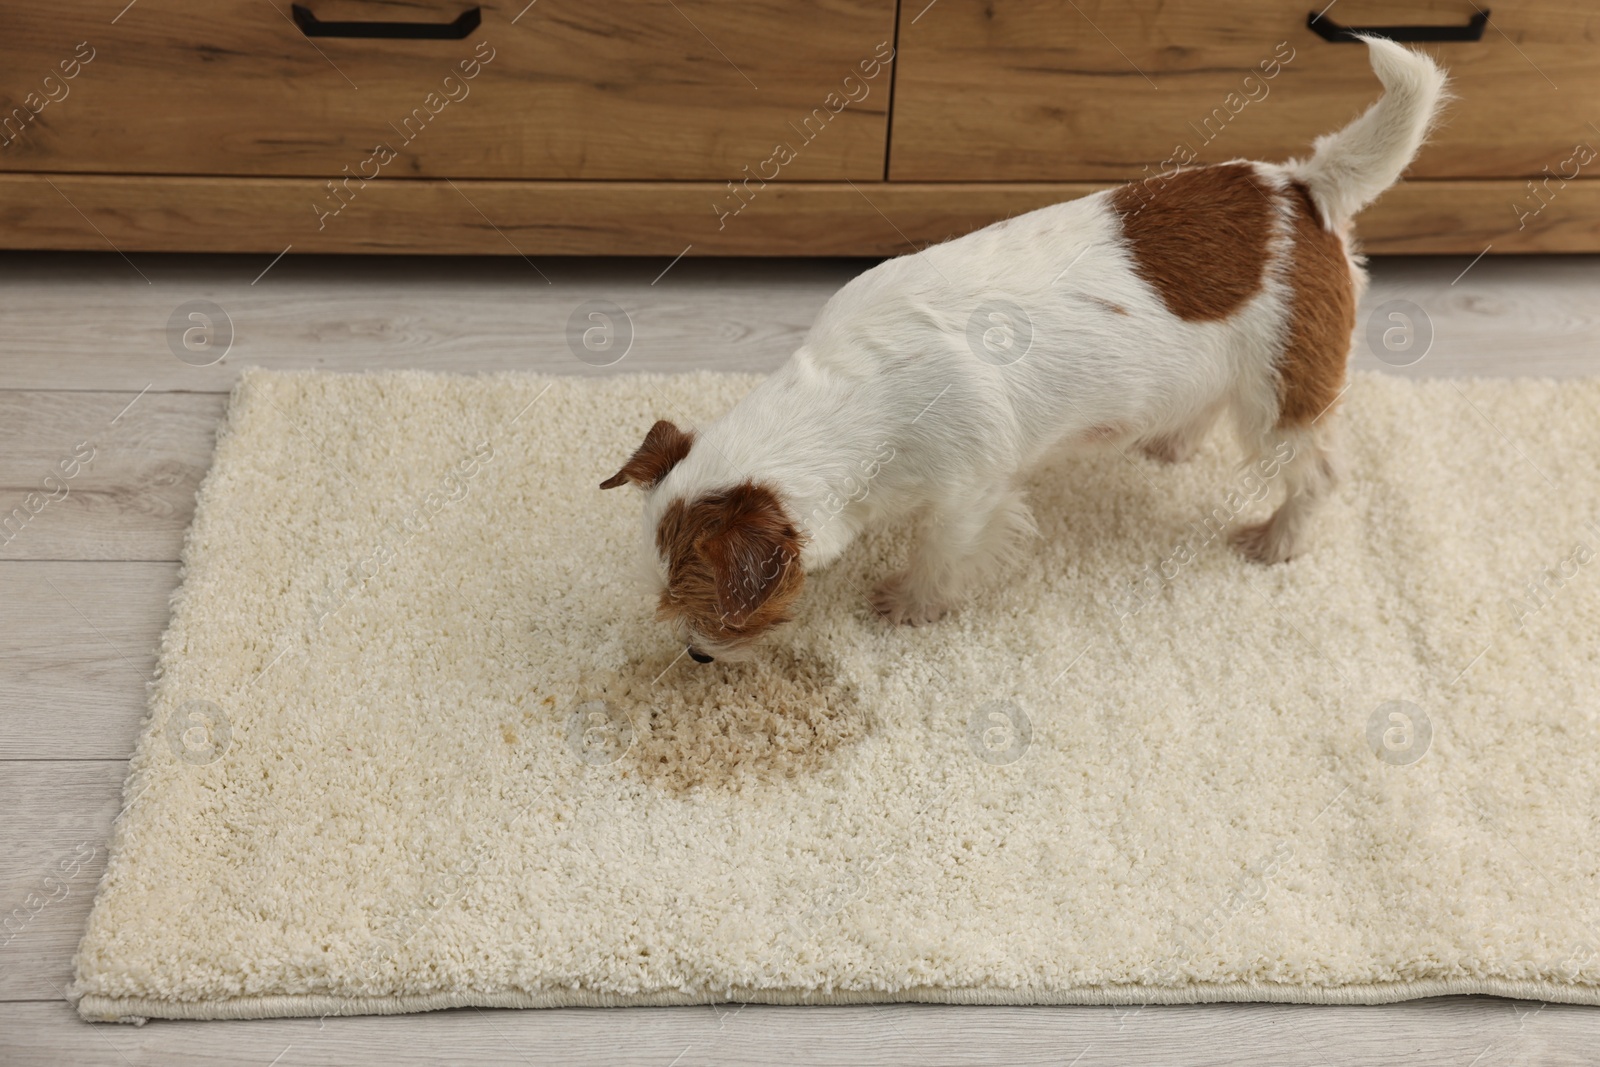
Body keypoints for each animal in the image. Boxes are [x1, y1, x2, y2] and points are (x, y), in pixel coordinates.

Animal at [601, 35, 1452, 659]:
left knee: (1319, 472)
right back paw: (1171, 442)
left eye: (721, 612)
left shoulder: (969, 493)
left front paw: (909, 604)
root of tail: (1303, 188)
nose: (699, 656)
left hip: (1281, 395)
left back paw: (1278, 539)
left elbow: (941, 553)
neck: (856, 393)